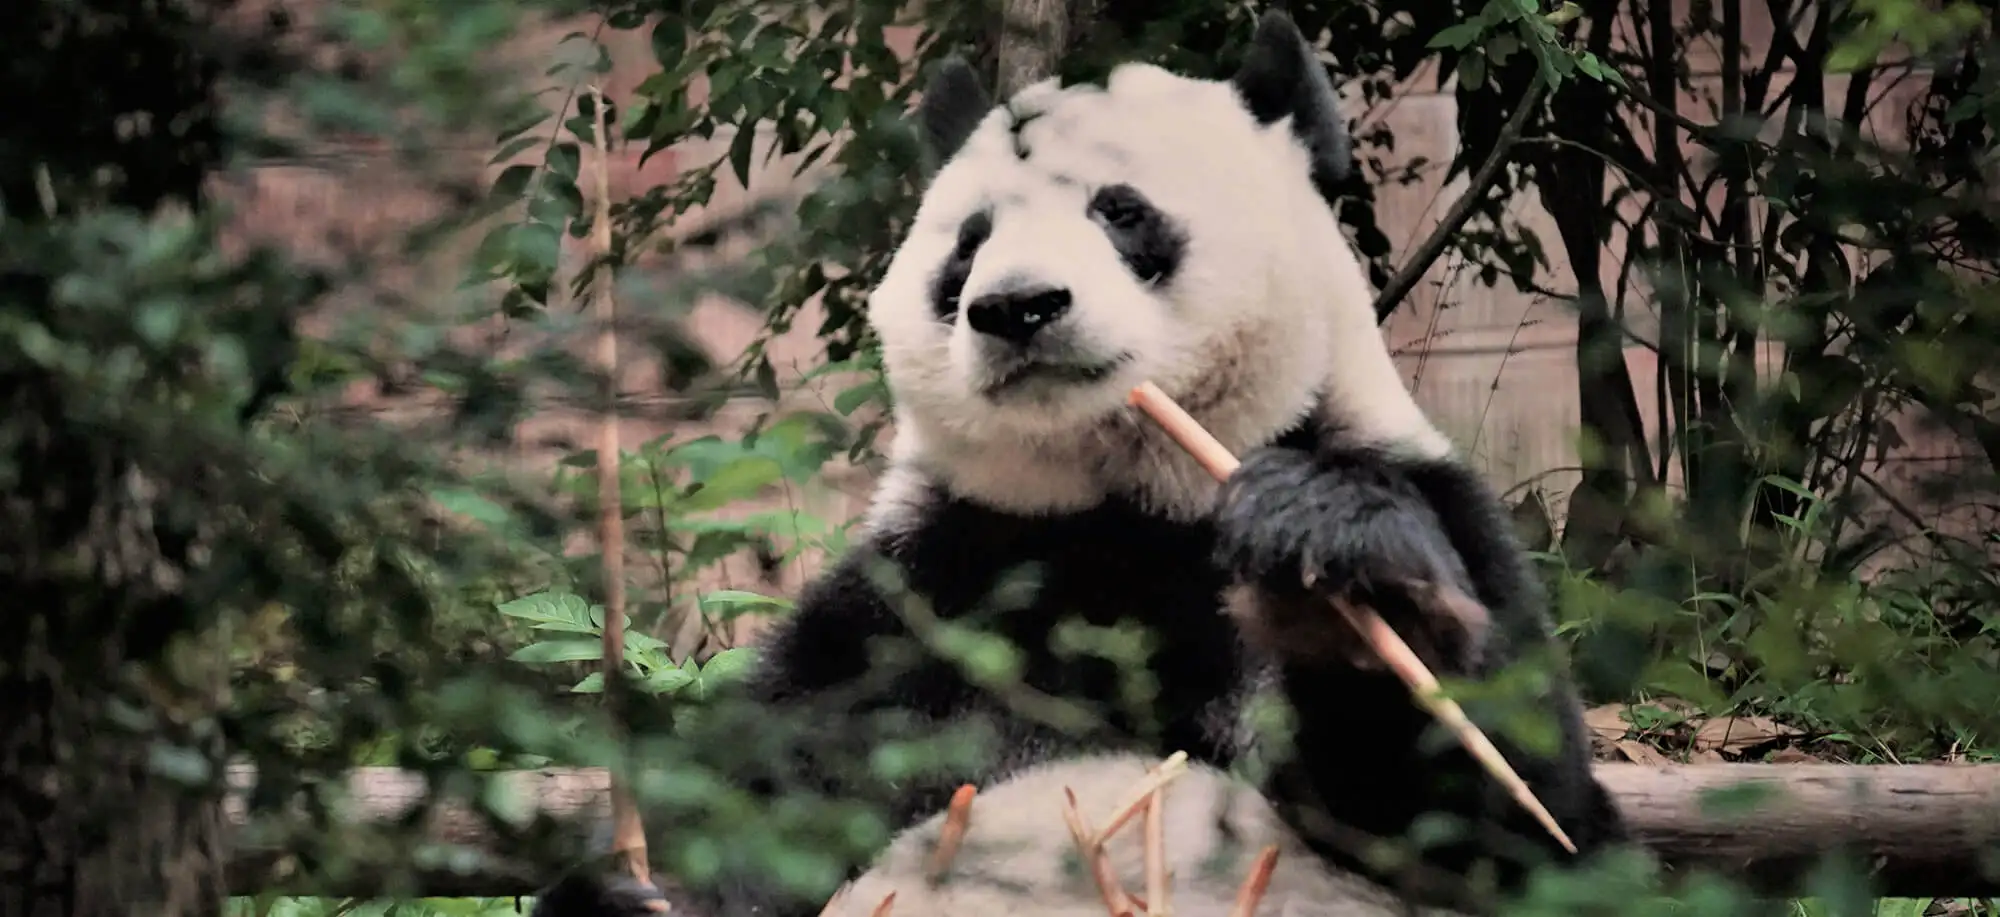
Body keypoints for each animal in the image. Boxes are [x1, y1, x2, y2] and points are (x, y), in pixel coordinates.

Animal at [531, 10, 1626, 917]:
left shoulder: (1436, 505)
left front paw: (1341, 571)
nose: (1015, 306)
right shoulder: (927, 590)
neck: (1123, 504)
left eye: (1119, 210)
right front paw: (631, 891)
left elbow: (1535, 833)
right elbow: (778, 781)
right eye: (968, 242)